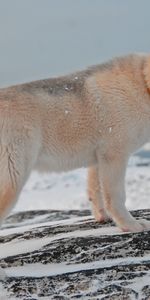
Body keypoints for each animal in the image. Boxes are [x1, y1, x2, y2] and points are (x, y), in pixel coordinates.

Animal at [0, 53, 150, 232]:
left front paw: (103, 218)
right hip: (12, 178)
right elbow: (116, 196)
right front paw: (131, 225)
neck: (142, 84)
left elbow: (96, 191)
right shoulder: (115, 154)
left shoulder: (99, 157)